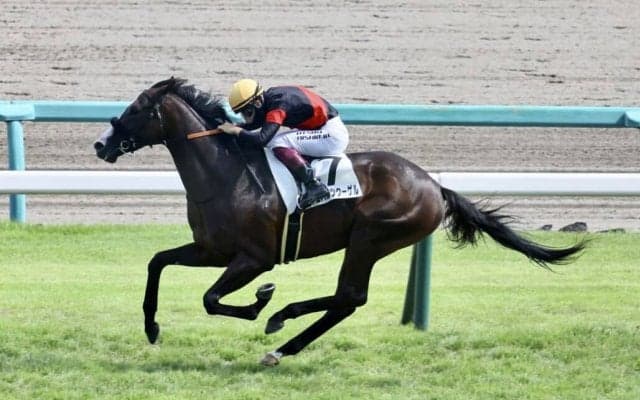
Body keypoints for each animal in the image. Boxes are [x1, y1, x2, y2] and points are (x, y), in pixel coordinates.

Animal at [94, 77, 585, 366]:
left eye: (135, 109)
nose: (101, 144)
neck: (226, 174)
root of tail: (433, 185)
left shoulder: (254, 258)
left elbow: (212, 300)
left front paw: (260, 303)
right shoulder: (212, 250)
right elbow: (158, 262)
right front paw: (152, 327)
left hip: (370, 237)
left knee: (350, 297)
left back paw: (280, 334)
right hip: (367, 242)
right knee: (347, 299)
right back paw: (284, 330)